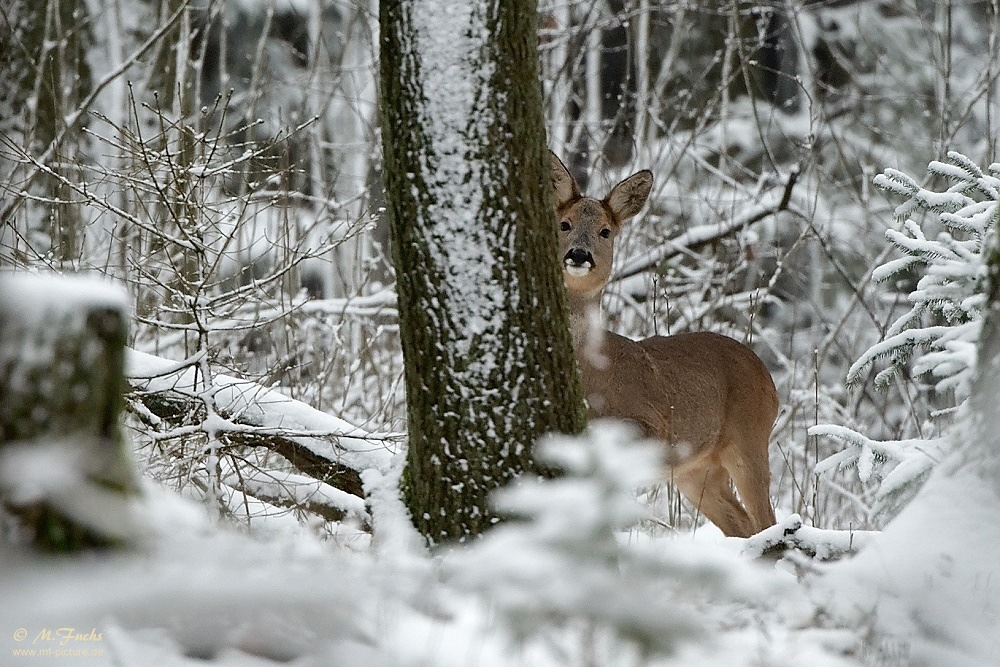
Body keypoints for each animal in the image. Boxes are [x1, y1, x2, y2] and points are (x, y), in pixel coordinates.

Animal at [552, 151, 776, 536]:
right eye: (564, 224)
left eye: (605, 231)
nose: (579, 255)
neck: (593, 370)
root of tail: (767, 375)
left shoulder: (653, 424)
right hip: (696, 468)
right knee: (741, 523)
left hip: (749, 435)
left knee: (766, 520)